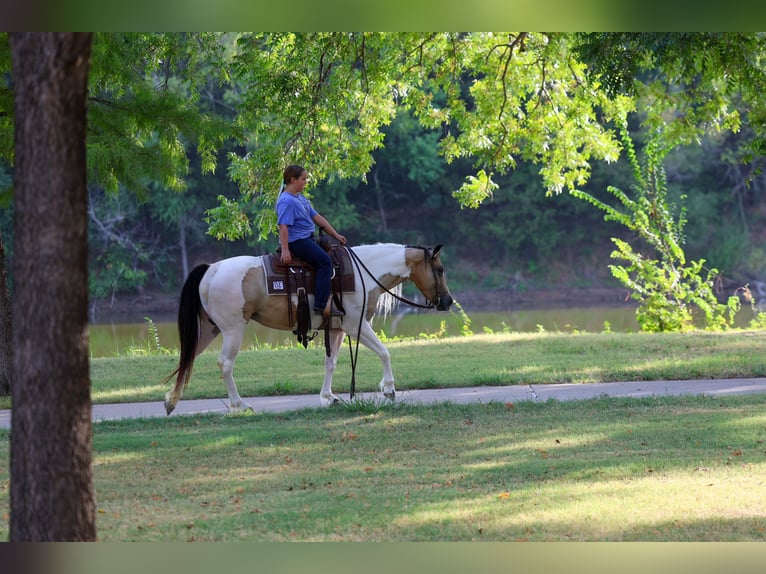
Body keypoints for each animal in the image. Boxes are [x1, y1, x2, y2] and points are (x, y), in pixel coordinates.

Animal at [163, 243, 454, 415]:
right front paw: (389, 389)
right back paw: (239, 404)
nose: (448, 301)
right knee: (225, 364)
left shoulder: (336, 329)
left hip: (208, 329)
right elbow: (384, 352)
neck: (363, 272)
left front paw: (328, 397)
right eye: (439, 269)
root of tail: (211, 269)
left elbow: (330, 363)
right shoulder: (356, 324)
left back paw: (171, 401)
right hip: (234, 329)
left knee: (187, 359)